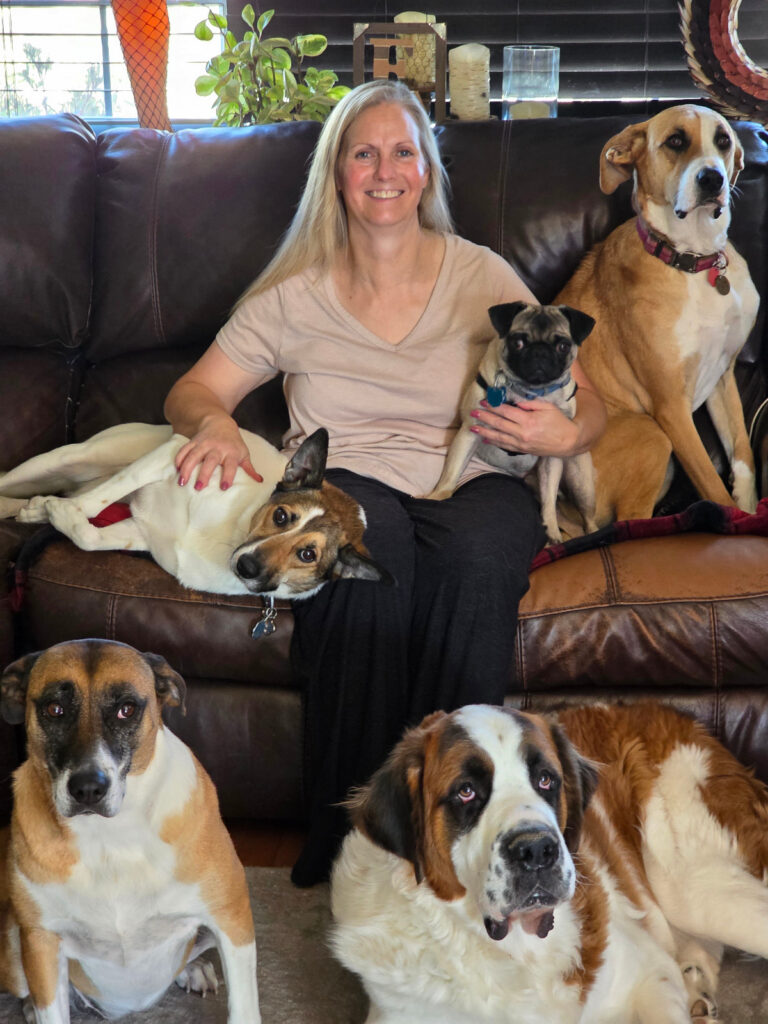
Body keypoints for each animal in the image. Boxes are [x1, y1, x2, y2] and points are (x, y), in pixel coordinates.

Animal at [0, 424, 390, 598]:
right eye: (281, 516)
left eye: (308, 554)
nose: (247, 567)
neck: (230, 533)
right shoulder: (173, 453)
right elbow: (95, 503)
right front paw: (61, 508)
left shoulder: (140, 530)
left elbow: (87, 535)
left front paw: (56, 513)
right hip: (68, 458)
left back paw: (33, 508)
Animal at [0, 639, 260, 1022]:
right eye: (54, 708)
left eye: (127, 710)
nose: (88, 789)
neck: (111, 836)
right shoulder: (41, 939)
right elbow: (52, 1006)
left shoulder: (232, 918)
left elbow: (244, 1007)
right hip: (13, 946)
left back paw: (194, 969)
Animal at [331, 701, 768, 1024]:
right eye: (466, 791)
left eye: (546, 780)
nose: (537, 850)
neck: (515, 952)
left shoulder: (650, 972)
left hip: (695, 887)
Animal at [426, 302, 598, 543]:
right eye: (518, 342)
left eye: (563, 346)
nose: (540, 352)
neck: (529, 392)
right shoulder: (469, 432)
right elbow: (451, 473)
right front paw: (438, 496)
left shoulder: (552, 456)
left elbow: (549, 499)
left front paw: (551, 528)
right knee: (572, 525)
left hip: (579, 480)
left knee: (586, 519)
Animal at [556, 103, 760, 528]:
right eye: (676, 141)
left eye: (723, 140)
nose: (712, 178)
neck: (694, 260)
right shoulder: (670, 407)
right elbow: (714, 486)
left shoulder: (725, 374)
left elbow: (742, 456)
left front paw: (751, 514)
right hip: (651, 432)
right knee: (632, 521)